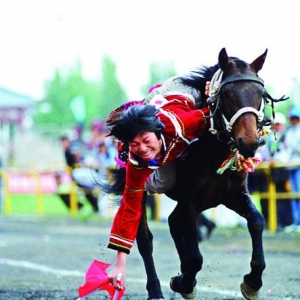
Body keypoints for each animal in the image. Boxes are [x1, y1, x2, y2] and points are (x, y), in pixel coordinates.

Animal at [103, 48, 288, 298]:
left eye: (260, 94)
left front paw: (252, 280)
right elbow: (195, 256)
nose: (249, 142)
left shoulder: (231, 194)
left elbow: (257, 221)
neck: (212, 151)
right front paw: (183, 282)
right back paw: (156, 289)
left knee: (173, 221)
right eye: (227, 94)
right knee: (146, 239)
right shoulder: (190, 200)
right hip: (138, 186)